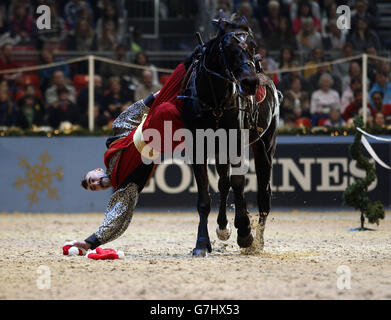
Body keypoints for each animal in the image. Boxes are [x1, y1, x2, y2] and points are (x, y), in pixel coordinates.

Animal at [181, 14, 282, 258]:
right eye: (228, 48)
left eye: (253, 45)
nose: (250, 82)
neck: (215, 100)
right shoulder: (198, 148)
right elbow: (205, 197)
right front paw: (202, 242)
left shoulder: (235, 142)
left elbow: (239, 183)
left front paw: (245, 231)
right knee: (224, 183)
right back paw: (223, 226)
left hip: (265, 145)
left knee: (263, 193)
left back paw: (257, 241)